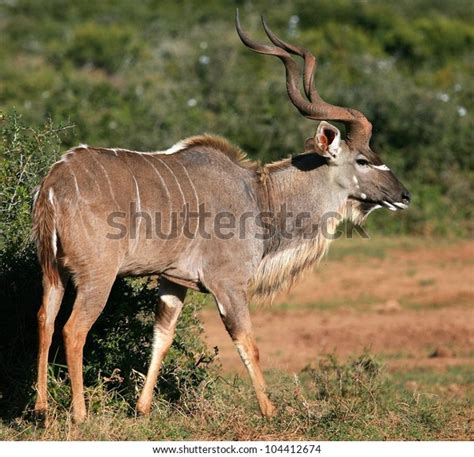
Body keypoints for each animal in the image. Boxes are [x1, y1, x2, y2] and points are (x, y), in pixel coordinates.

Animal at [33, 14, 412, 420]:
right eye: (364, 160)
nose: (404, 196)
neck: (261, 197)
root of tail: (54, 182)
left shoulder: (173, 280)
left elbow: (162, 337)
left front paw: (143, 408)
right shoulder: (228, 283)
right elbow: (248, 342)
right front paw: (270, 411)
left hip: (54, 272)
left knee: (44, 319)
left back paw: (41, 408)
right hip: (97, 276)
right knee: (73, 329)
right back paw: (79, 414)